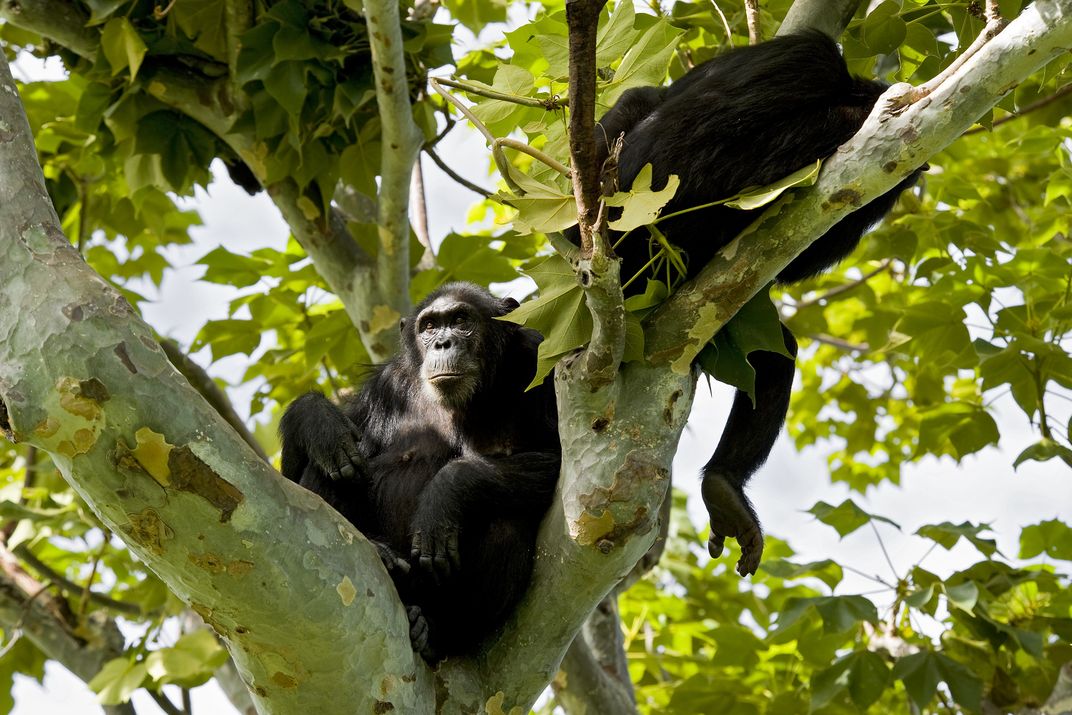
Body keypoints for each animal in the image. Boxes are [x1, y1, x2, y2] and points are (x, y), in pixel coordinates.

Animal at [276, 282, 561, 664]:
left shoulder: (538, 357)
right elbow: (293, 490)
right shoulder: (386, 387)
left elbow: (561, 456)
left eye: (461, 320)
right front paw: (317, 419)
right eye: (429, 327)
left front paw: (444, 496)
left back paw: (434, 631)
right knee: (330, 471)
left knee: (507, 523)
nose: (443, 343)